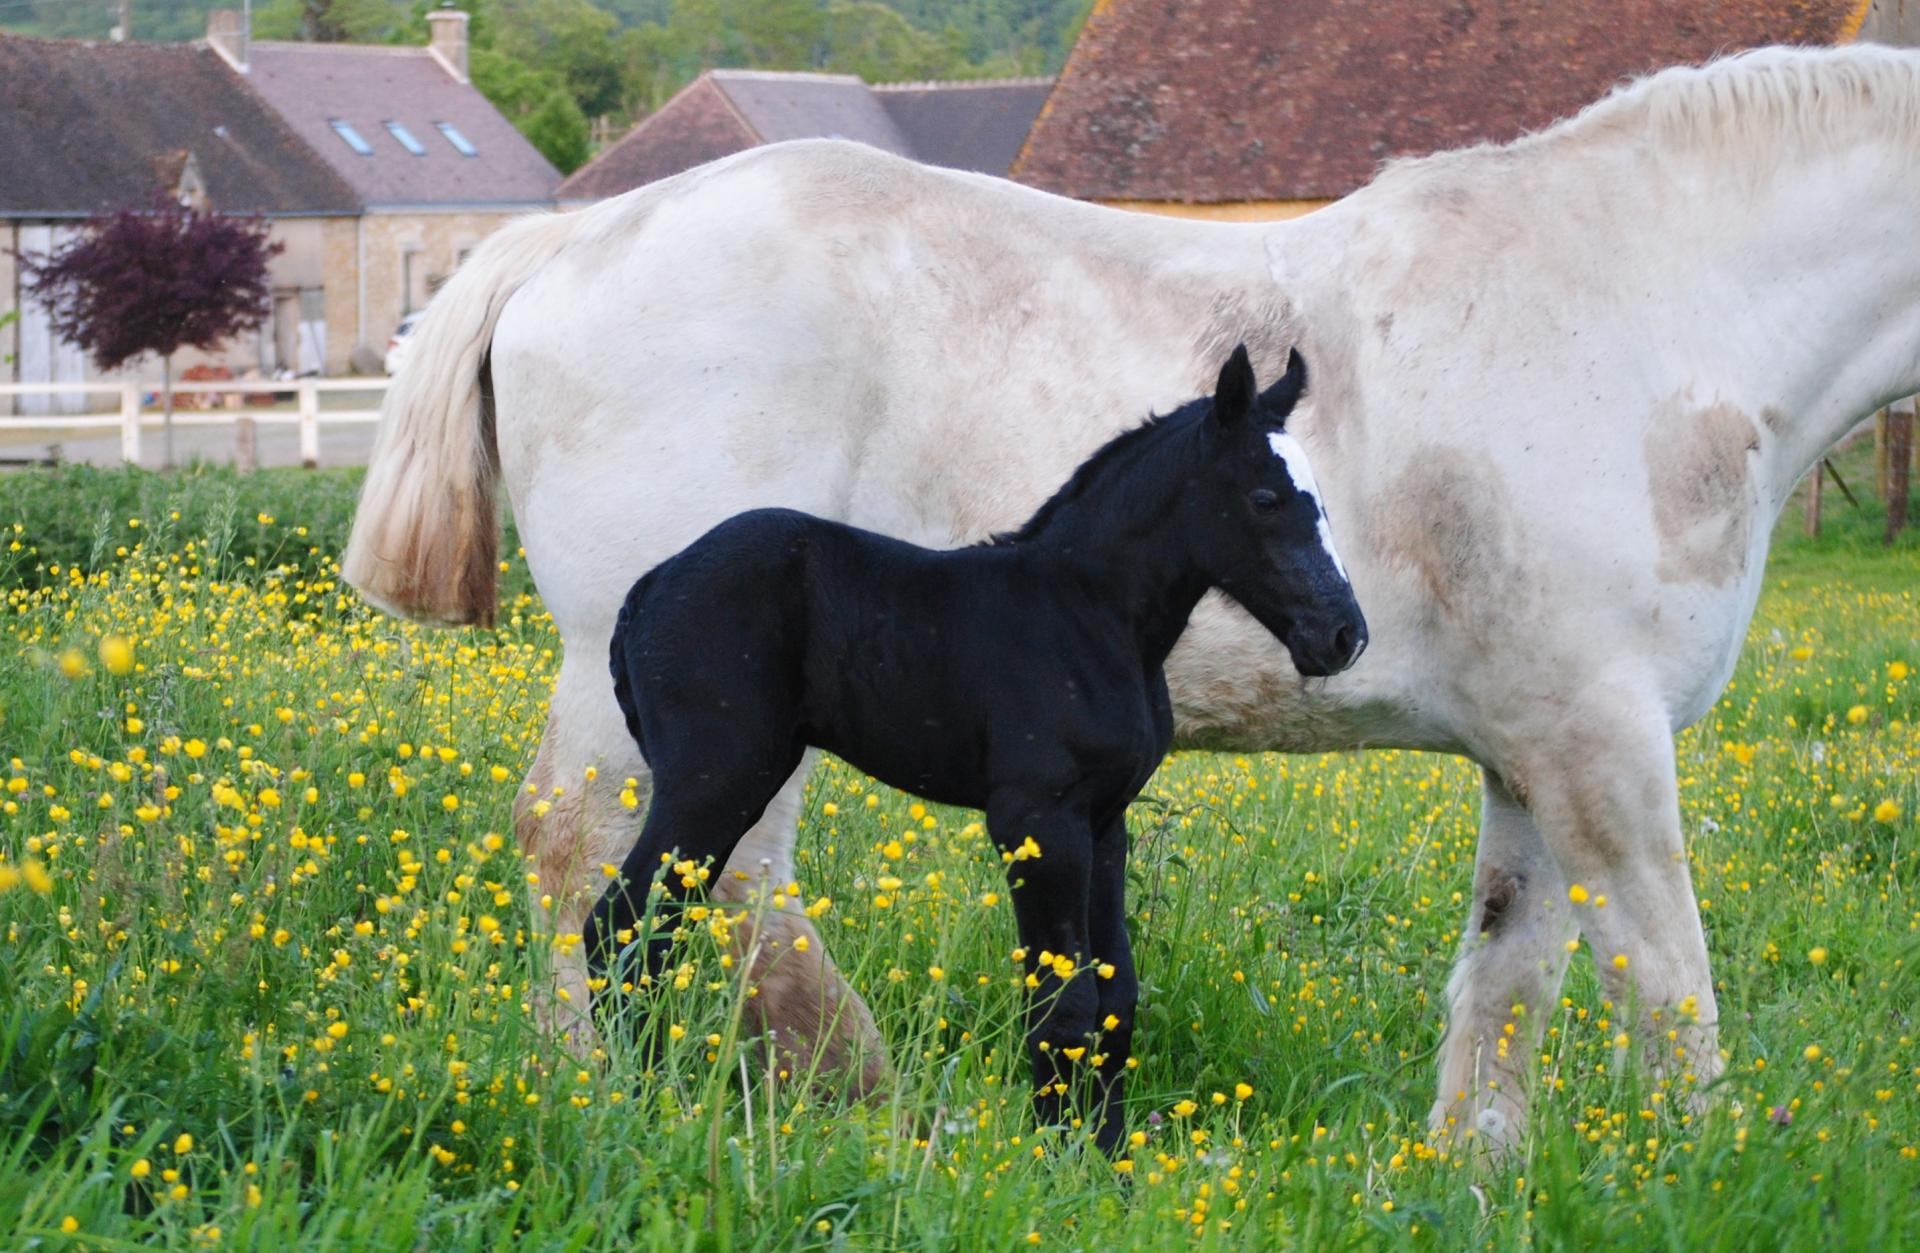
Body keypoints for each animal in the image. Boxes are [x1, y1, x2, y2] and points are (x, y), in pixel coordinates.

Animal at [583, 345, 1367, 1151]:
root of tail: (650, 585)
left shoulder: (1105, 821)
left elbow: (1116, 991)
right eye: (1266, 498)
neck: (1091, 614)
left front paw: (1108, 1154)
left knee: (656, 924)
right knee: (622, 921)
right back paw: (645, 1098)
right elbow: (1064, 999)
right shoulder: (1037, 819)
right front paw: (1055, 1153)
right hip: (715, 778)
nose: (1344, 635)